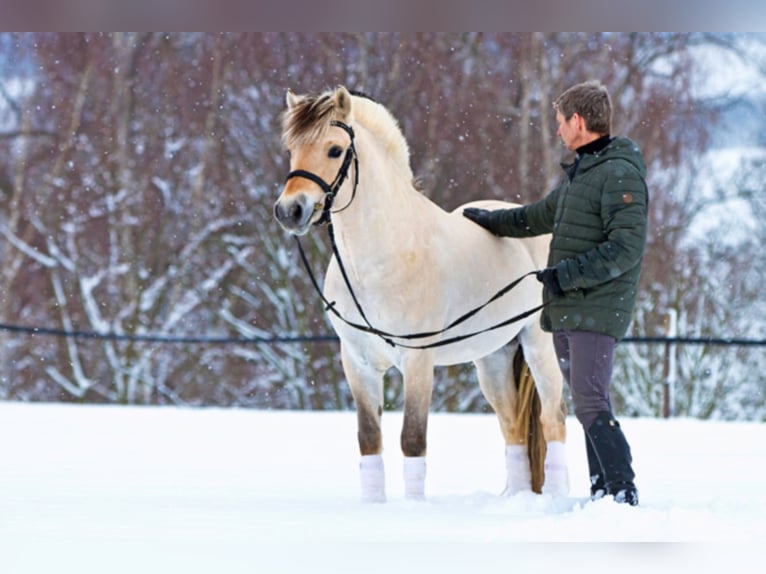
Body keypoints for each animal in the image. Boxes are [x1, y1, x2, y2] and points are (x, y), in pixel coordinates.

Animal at [273, 85, 567, 502]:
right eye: (291, 149)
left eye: (334, 150)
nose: (289, 211)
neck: (381, 257)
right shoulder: (357, 362)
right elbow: (369, 439)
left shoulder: (417, 361)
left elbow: (412, 440)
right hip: (493, 356)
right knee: (511, 424)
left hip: (537, 345)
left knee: (552, 418)